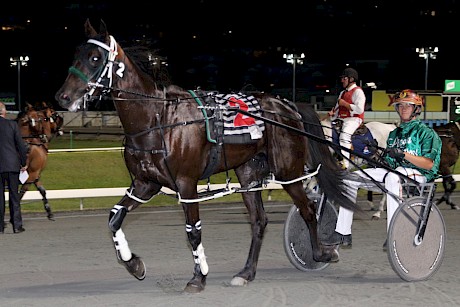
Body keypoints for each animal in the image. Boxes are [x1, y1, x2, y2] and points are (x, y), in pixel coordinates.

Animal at [53, 19, 356, 294]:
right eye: (76, 55)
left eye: (95, 57)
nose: (62, 97)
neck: (157, 118)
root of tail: (287, 105)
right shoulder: (144, 184)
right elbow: (114, 218)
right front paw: (134, 264)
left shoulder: (187, 184)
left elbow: (193, 230)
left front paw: (198, 277)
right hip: (248, 174)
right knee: (259, 221)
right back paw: (246, 273)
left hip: (288, 172)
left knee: (308, 211)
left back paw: (322, 253)